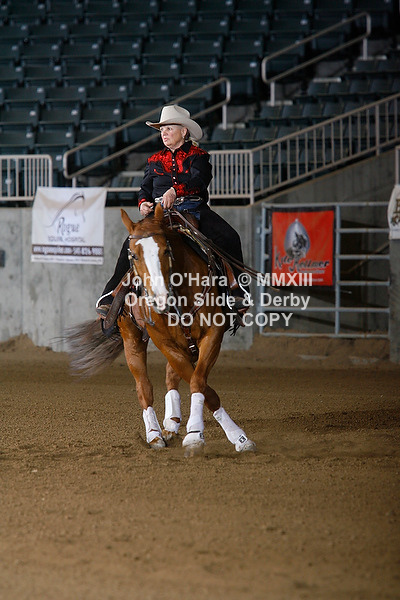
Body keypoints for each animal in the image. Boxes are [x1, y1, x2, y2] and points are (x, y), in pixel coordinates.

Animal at [66, 203, 256, 456]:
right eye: (133, 255)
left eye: (167, 250)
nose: (159, 299)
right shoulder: (163, 341)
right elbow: (200, 386)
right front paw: (198, 434)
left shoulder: (212, 334)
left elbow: (198, 382)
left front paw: (233, 437)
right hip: (132, 338)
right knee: (144, 387)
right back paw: (155, 434)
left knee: (171, 375)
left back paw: (172, 423)